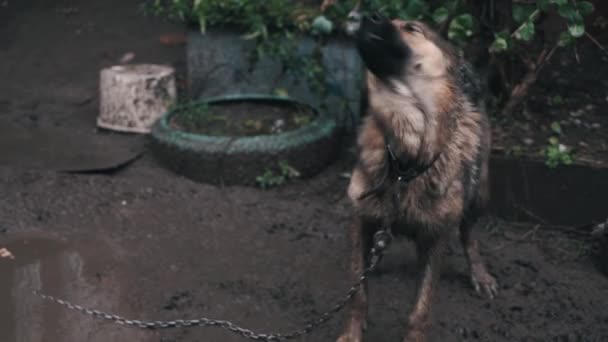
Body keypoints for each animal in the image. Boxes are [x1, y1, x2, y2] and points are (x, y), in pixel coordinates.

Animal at [338, 10, 498, 342]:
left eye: (412, 28)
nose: (362, 14)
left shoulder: (436, 238)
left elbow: (420, 310)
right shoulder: (361, 218)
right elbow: (358, 294)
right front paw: (351, 333)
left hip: (479, 193)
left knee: (469, 235)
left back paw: (479, 273)